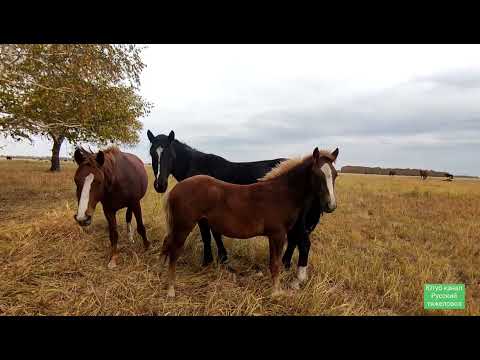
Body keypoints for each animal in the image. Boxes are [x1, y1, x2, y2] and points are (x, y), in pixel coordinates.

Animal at [147, 131, 322, 286]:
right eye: (152, 154)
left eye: (170, 155)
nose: (160, 185)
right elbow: (216, 234)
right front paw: (222, 259)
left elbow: (207, 236)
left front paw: (208, 262)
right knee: (294, 242)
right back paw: (285, 265)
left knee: (303, 244)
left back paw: (296, 277)